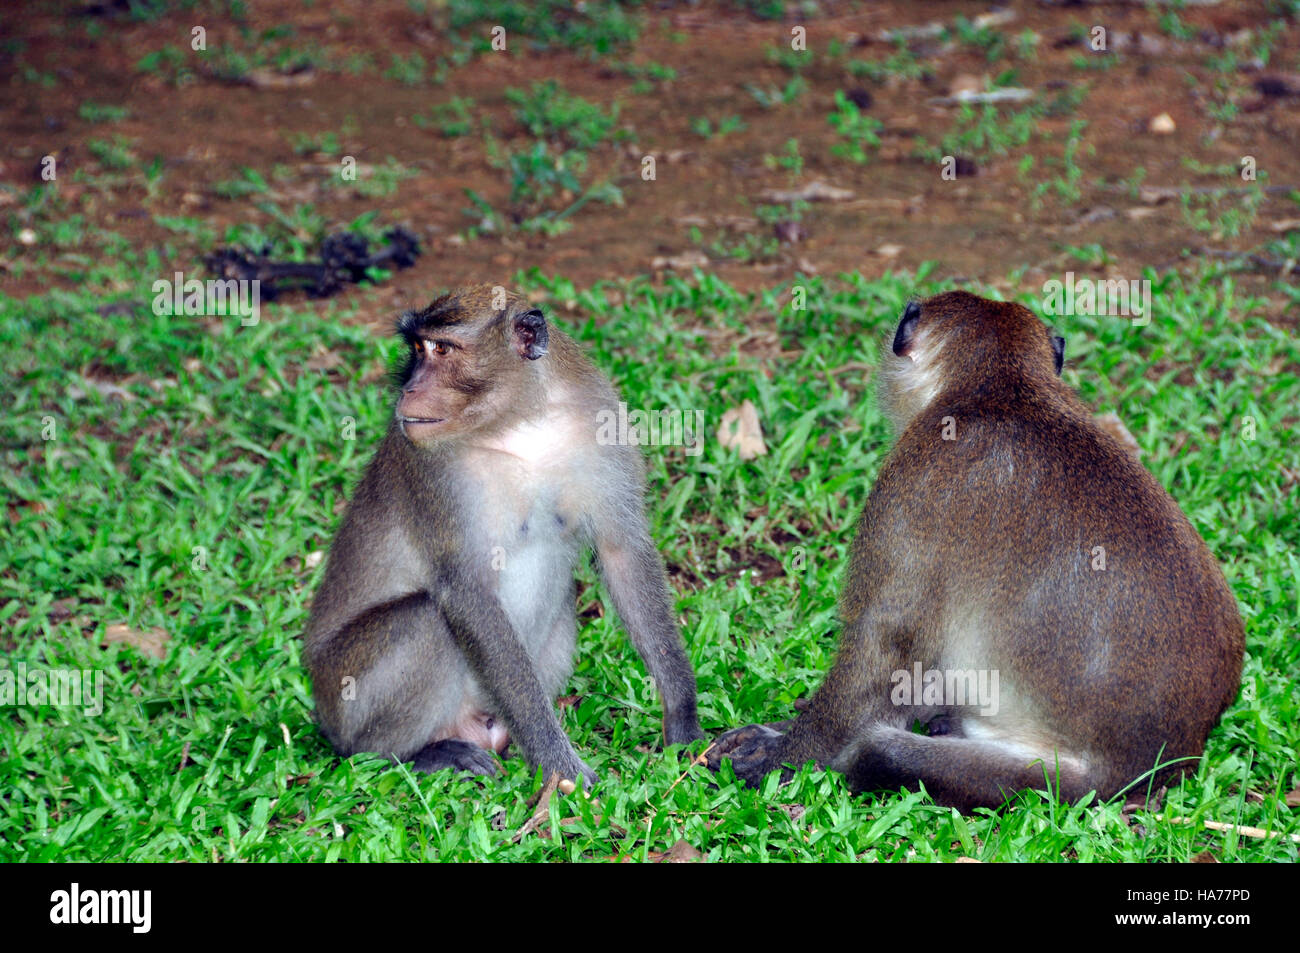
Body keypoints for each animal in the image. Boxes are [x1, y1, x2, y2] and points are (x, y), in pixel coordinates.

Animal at [302, 285, 702, 786]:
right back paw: (410, 755)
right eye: (418, 349)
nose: (410, 389)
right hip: (347, 699)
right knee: (424, 619)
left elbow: (622, 552)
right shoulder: (433, 471)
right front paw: (560, 766)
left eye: (442, 350)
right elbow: (468, 593)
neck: (519, 424)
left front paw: (683, 722)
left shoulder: (600, 419)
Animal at [709, 291, 1244, 811]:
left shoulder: (911, 485)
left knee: (879, 751)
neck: (1002, 386)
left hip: (1051, 775)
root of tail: (1152, 768)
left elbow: (885, 649)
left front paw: (783, 753)